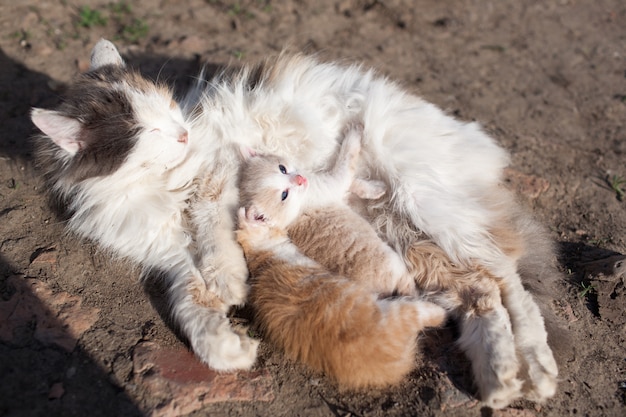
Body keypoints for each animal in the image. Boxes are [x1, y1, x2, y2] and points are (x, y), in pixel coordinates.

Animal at [234, 123, 444, 386]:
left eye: (283, 168)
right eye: (284, 195)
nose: (299, 178)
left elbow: (352, 182)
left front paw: (372, 188)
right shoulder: (332, 182)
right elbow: (345, 163)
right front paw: (355, 136)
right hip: (395, 269)